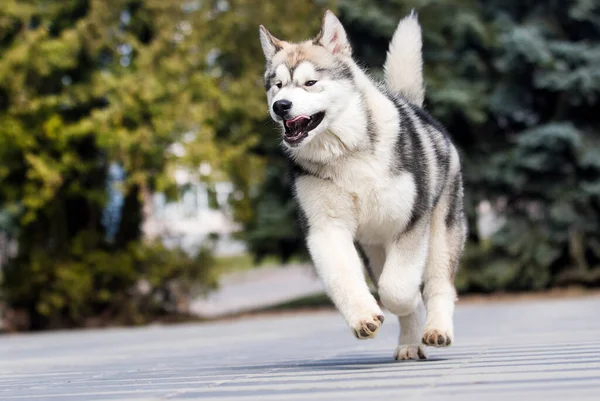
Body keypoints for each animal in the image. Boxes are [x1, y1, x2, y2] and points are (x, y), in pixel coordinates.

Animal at [255, 10, 466, 360]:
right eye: (278, 85)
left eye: (310, 83)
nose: (281, 106)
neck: (345, 152)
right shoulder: (325, 228)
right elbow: (343, 276)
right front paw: (363, 317)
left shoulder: (410, 224)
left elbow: (397, 289)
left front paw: (408, 301)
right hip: (374, 248)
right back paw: (409, 344)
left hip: (440, 230)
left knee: (439, 283)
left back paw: (437, 329)